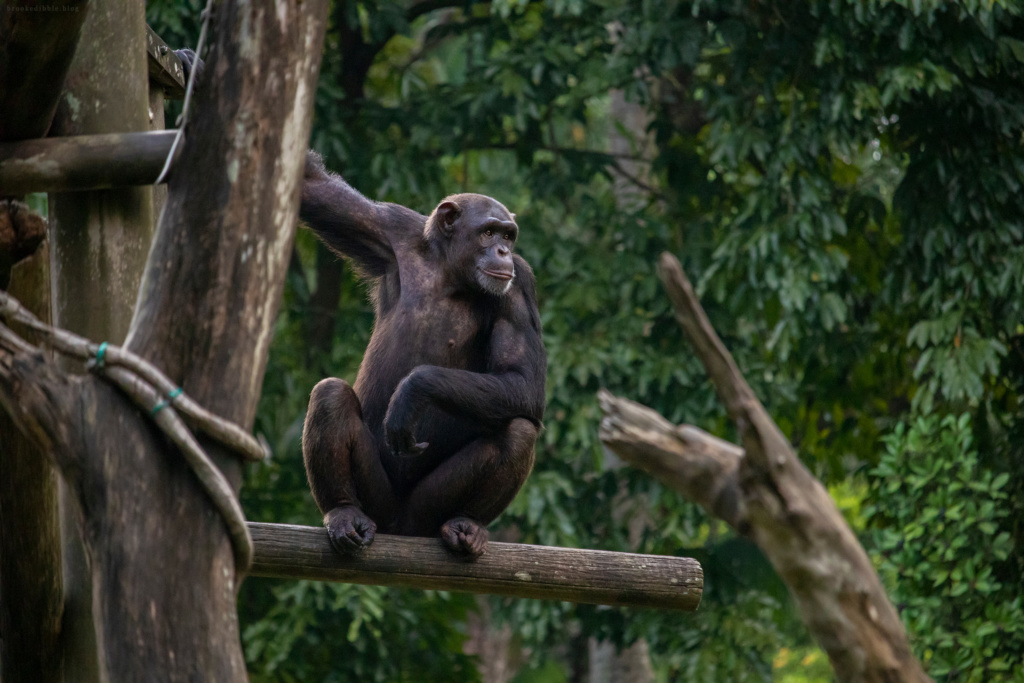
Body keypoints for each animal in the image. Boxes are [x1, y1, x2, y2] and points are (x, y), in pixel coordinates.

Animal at [299, 152, 548, 557]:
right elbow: (314, 188)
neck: (450, 272)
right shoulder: (388, 228)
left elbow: (523, 380)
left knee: (519, 429)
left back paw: (466, 523)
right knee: (330, 395)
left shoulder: (519, 285)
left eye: (509, 235)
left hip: (427, 508)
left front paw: (413, 389)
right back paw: (343, 511)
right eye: (488, 232)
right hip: (378, 498)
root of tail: (401, 527)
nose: (503, 251)